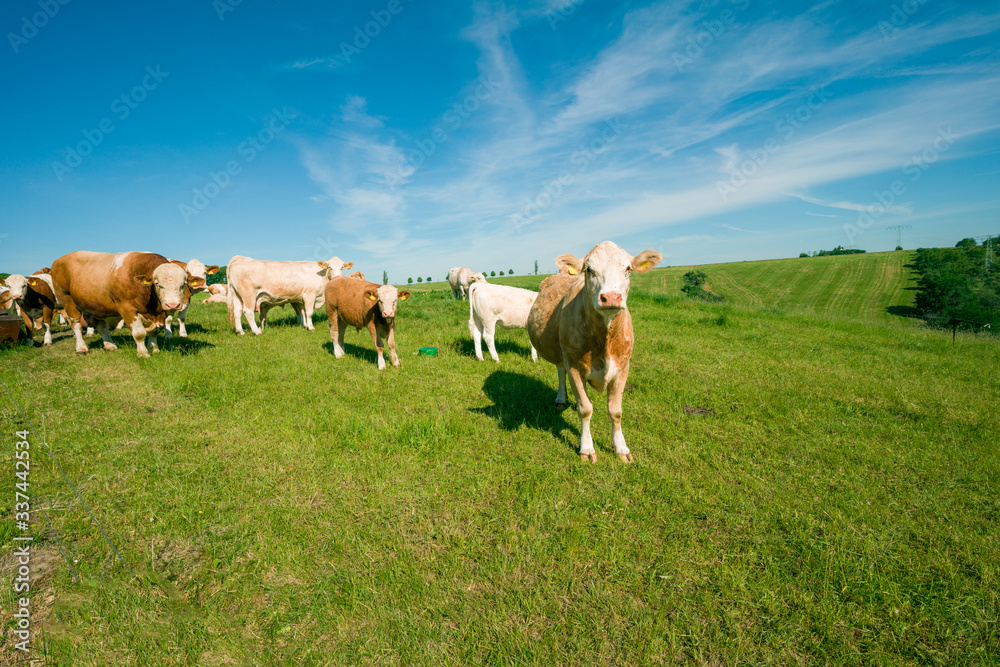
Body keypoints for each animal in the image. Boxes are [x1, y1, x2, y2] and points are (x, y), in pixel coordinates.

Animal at [50, 250, 189, 358]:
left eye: (183, 284)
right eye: (157, 284)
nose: (172, 305)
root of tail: (58, 260)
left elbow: (154, 331)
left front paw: (154, 349)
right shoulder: (127, 309)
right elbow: (139, 333)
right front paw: (143, 353)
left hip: (98, 305)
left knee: (101, 327)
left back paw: (109, 345)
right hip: (67, 300)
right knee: (76, 325)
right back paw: (81, 348)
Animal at [528, 241, 660, 464]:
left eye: (628, 269)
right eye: (589, 270)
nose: (611, 297)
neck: (605, 340)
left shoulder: (623, 367)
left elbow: (616, 411)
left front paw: (621, 448)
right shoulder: (574, 366)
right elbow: (585, 409)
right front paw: (587, 448)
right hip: (561, 352)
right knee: (561, 371)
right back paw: (561, 398)